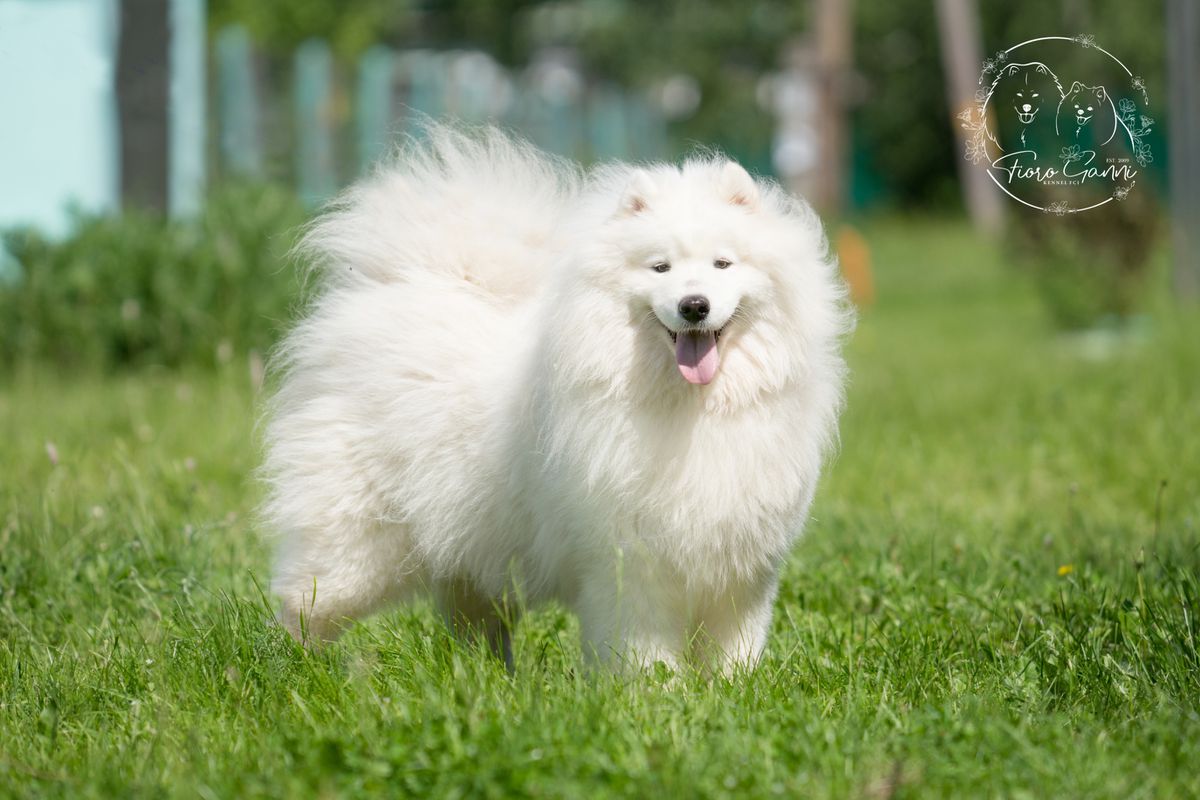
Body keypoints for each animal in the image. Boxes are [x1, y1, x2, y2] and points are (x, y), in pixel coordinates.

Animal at [262, 126, 849, 676]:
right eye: (659, 268)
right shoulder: (630, 565)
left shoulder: (742, 568)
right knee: (305, 604)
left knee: (475, 624)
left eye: (723, 264)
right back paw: (292, 671)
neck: (691, 407)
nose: (694, 305)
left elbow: (735, 649)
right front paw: (660, 695)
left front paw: (733, 691)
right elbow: (645, 650)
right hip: (357, 546)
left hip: (474, 547)